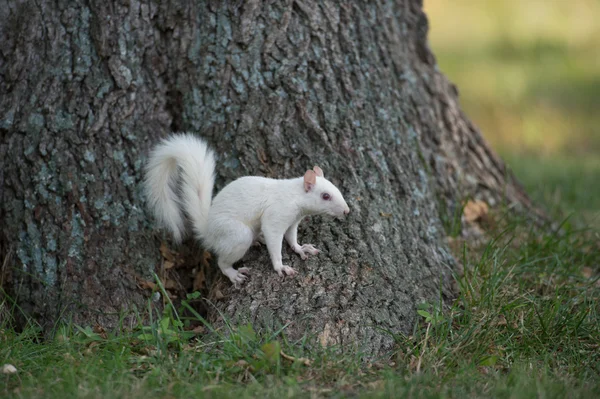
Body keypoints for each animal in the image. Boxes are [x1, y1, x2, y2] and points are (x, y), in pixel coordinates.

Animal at [143, 134, 350, 288]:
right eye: (325, 196)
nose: (347, 211)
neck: (295, 196)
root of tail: (208, 231)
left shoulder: (293, 221)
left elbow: (291, 238)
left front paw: (301, 248)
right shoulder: (277, 215)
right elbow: (274, 239)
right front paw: (281, 267)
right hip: (236, 235)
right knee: (222, 262)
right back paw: (234, 274)